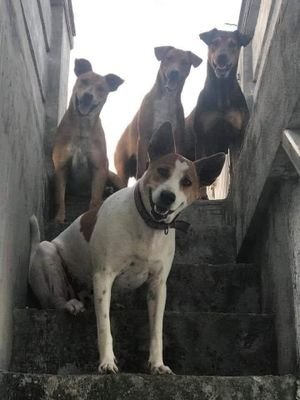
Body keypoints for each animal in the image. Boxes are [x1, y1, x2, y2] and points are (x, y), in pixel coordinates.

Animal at [28, 122, 225, 376]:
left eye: (187, 182)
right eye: (162, 171)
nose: (167, 196)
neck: (147, 226)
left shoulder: (158, 285)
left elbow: (156, 331)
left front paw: (157, 364)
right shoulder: (103, 275)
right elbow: (104, 326)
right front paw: (107, 362)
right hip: (47, 253)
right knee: (54, 300)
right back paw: (70, 304)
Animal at [113, 46, 203, 185]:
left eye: (185, 63)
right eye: (168, 58)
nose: (174, 72)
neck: (166, 98)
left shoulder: (177, 138)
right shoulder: (144, 138)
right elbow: (140, 169)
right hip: (122, 169)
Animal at [185, 28, 251, 162]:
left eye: (233, 44)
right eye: (214, 43)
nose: (222, 57)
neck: (222, 90)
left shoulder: (237, 135)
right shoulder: (202, 138)